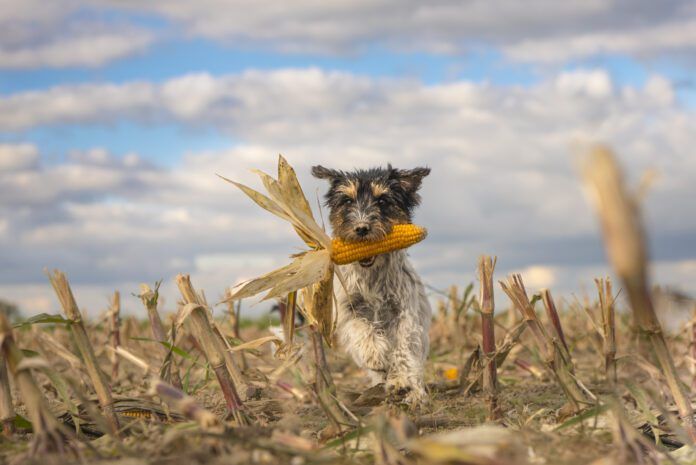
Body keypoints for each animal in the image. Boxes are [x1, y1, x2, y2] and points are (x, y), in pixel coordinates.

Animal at [314, 165, 432, 404]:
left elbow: (403, 348)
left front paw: (401, 381)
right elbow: (361, 328)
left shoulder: (404, 313)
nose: (361, 228)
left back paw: (413, 393)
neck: (371, 275)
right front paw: (375, 355)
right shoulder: (349, 309)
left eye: (383, 201)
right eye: (347, 200)